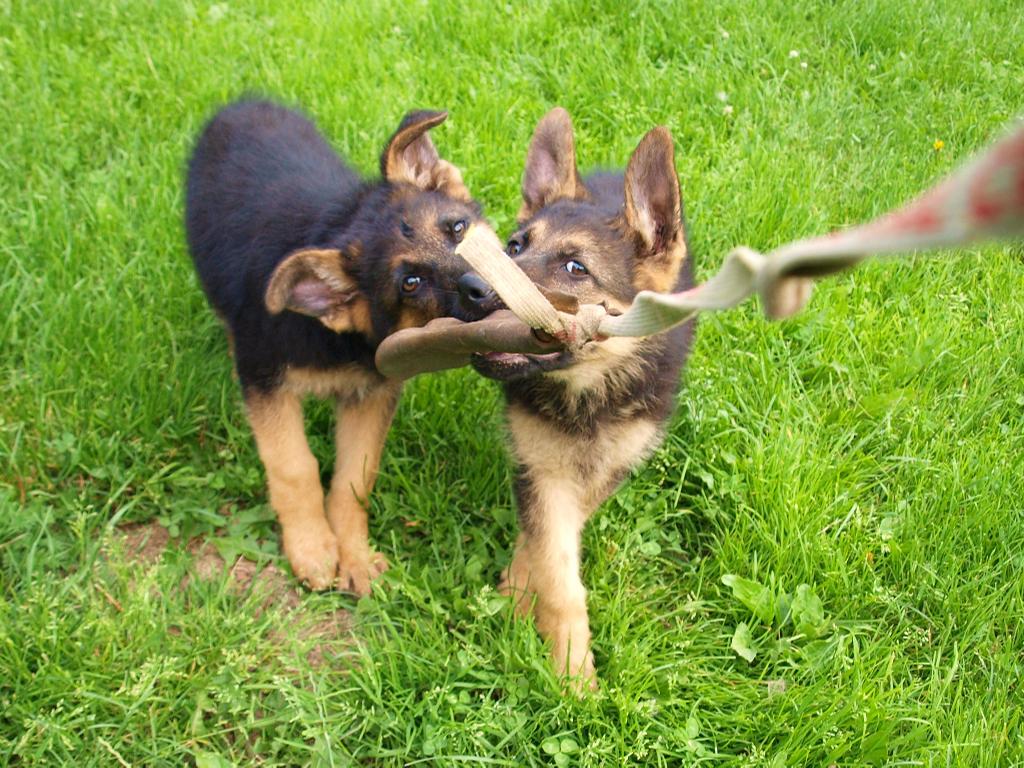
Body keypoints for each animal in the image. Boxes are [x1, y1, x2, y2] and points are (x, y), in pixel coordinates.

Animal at [189, 100, 499, 593]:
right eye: (411, 283)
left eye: (457, 228)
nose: (487, 290)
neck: (340, 341)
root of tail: (243, 104)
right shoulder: (263, 380)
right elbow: (293, 465)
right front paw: (313, 548)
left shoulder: (370, 393)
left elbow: (356, 475)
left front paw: (354, 555)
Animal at [468, 108, 696, 692]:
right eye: (514, 247)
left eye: (576, 268)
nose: (470, 289)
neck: (586, 392)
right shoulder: (538, 464)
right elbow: (554, 561)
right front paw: (566, 662)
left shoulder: (610, 465)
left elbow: (558, 547)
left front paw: (569, 676)